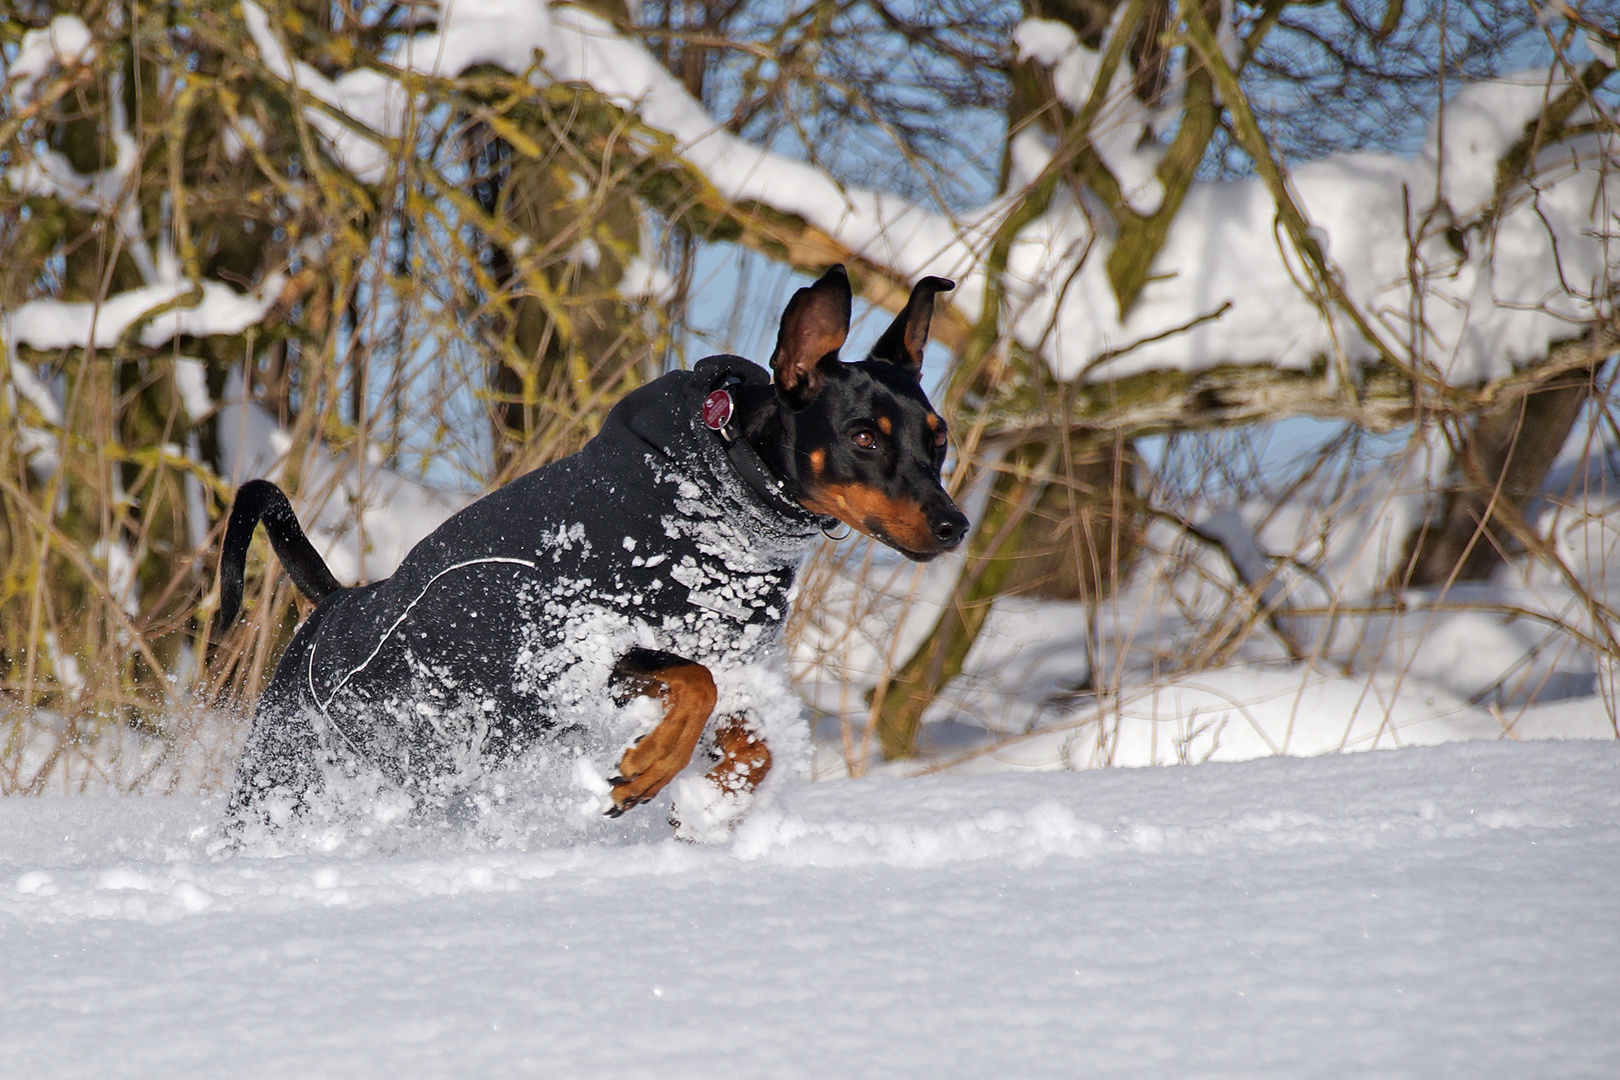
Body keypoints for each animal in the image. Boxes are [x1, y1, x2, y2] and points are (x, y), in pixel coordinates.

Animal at [220, 265, 965, 841]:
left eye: (940, 437)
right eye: (864, 437)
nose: (954, 524)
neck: (726, 501)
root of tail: (334, 603)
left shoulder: (728, 654)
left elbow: (753, 743)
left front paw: (708, 804)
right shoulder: (571, 651)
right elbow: (695, 683)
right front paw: (648, 769)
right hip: (285, 773)